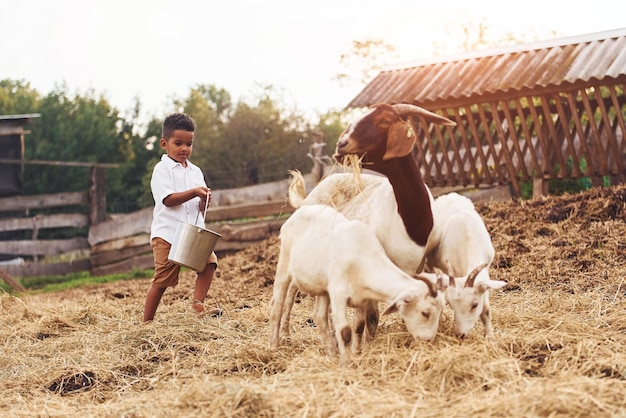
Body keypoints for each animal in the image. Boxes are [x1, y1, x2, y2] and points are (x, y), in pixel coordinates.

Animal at [270, 205, 444, 366]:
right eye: (425, 312)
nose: (429, 340)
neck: (363, 256)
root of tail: (300, 210)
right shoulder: (338, 295)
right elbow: (345, 331)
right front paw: (347, 363)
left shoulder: (362, 296)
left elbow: (359, 326)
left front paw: (356, 353)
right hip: (284, 266)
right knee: (277, 307)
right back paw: (274, 347)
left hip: (323, 288)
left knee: (319, 316)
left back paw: (332, 353)